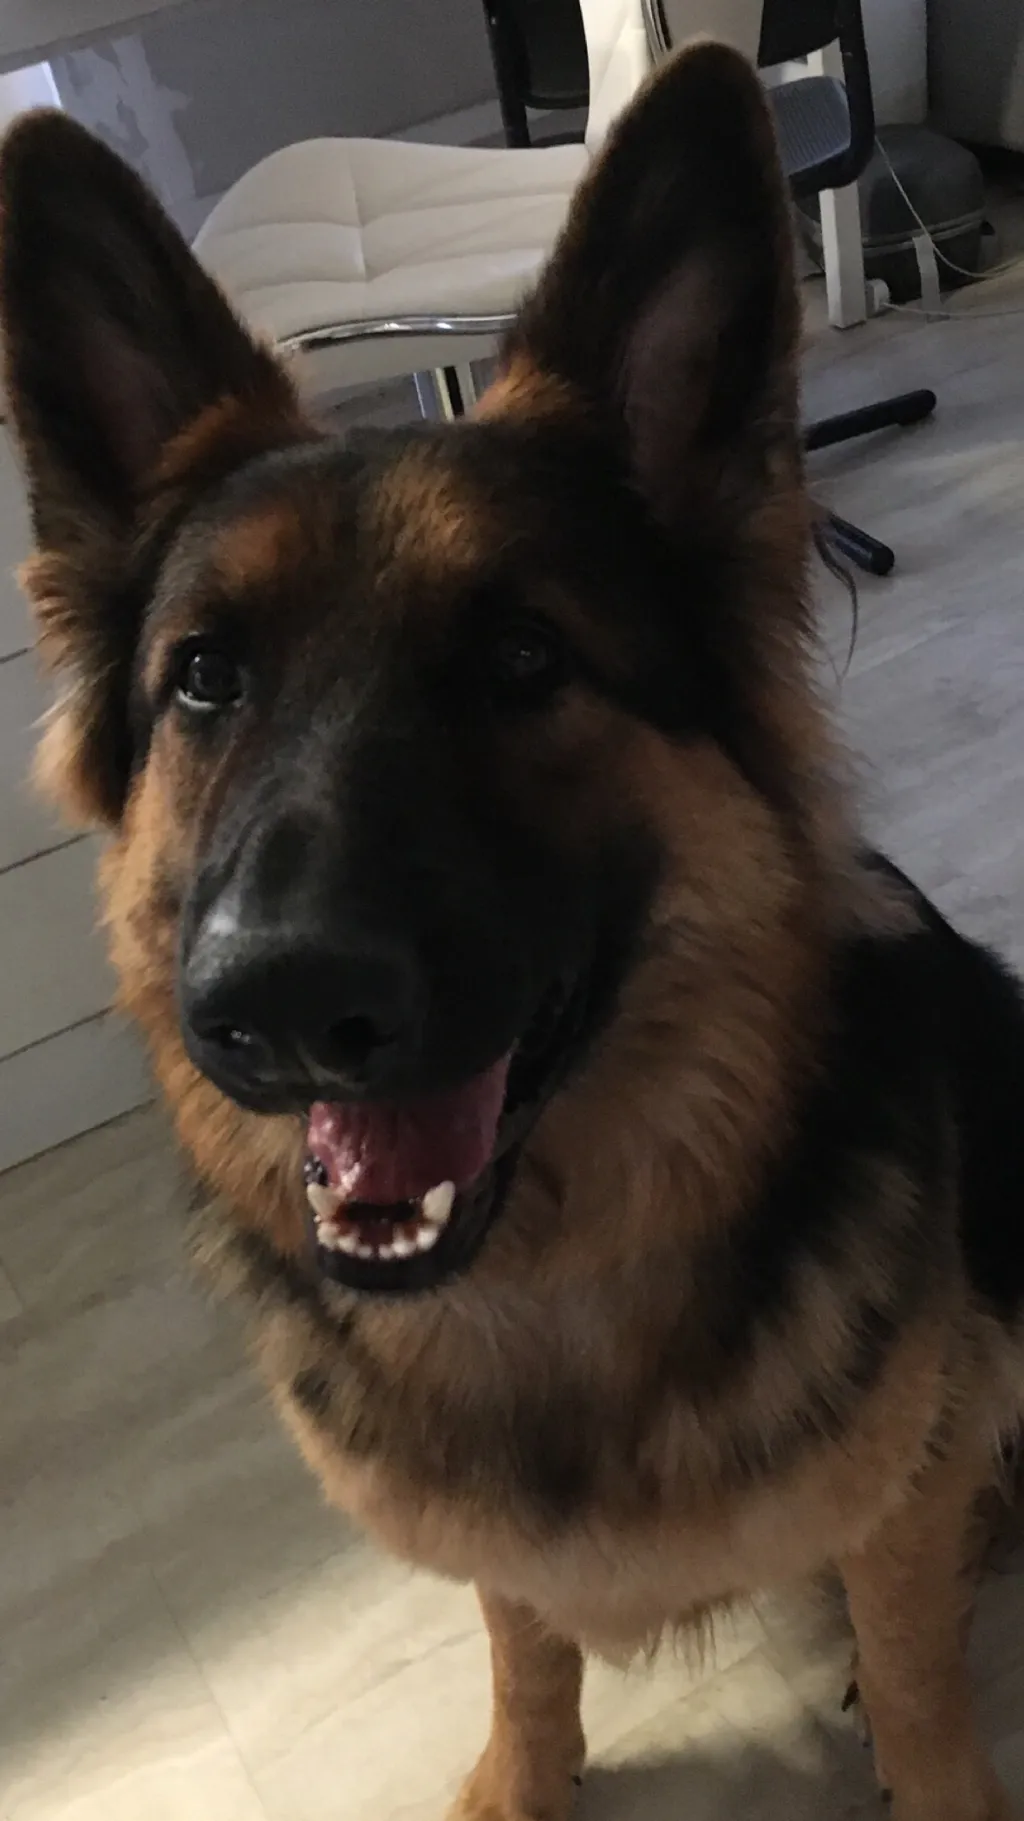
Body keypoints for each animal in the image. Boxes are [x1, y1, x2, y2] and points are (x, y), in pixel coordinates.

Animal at [2, 42, 1023, 1821]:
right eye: (205, 677)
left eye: (526, 659)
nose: (273, 1005)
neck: (551, 1287)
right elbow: (524, 1650)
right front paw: (520, 1780)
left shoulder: (906, 1463)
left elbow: (911, 1654)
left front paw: (928, 1755)